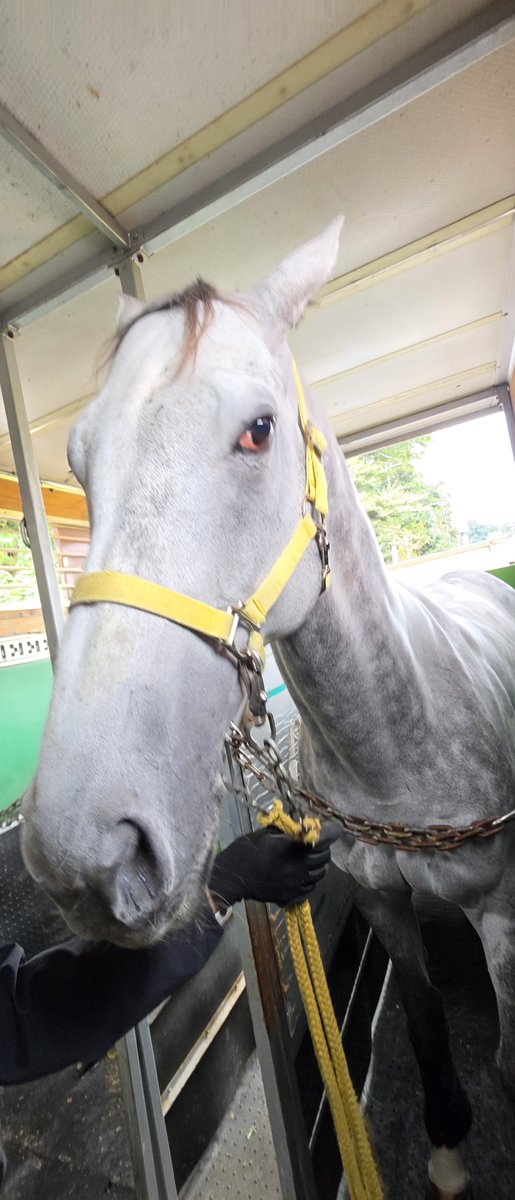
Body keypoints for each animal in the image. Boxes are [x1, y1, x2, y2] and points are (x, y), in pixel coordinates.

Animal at [21, 219, 515, 1199]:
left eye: (259, 430)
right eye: (80, 458)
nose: (86, 854)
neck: (393, 758)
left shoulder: (505, 924)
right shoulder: (390, 912)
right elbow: (425, 1024)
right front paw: (446, 1151)